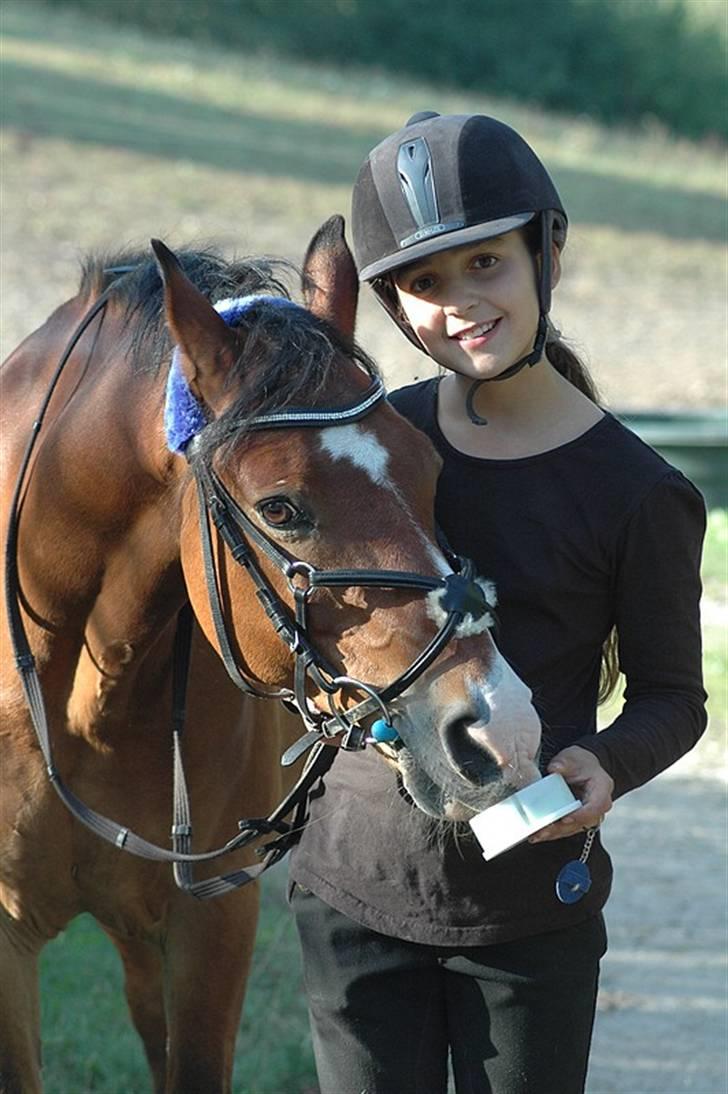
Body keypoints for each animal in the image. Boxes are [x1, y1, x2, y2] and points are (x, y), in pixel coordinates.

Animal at [0, 217, 538, 1089]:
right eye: (280, 508)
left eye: (430, 469)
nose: (501, 730)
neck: (81, 696)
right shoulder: (8, 939)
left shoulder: (209, 926)